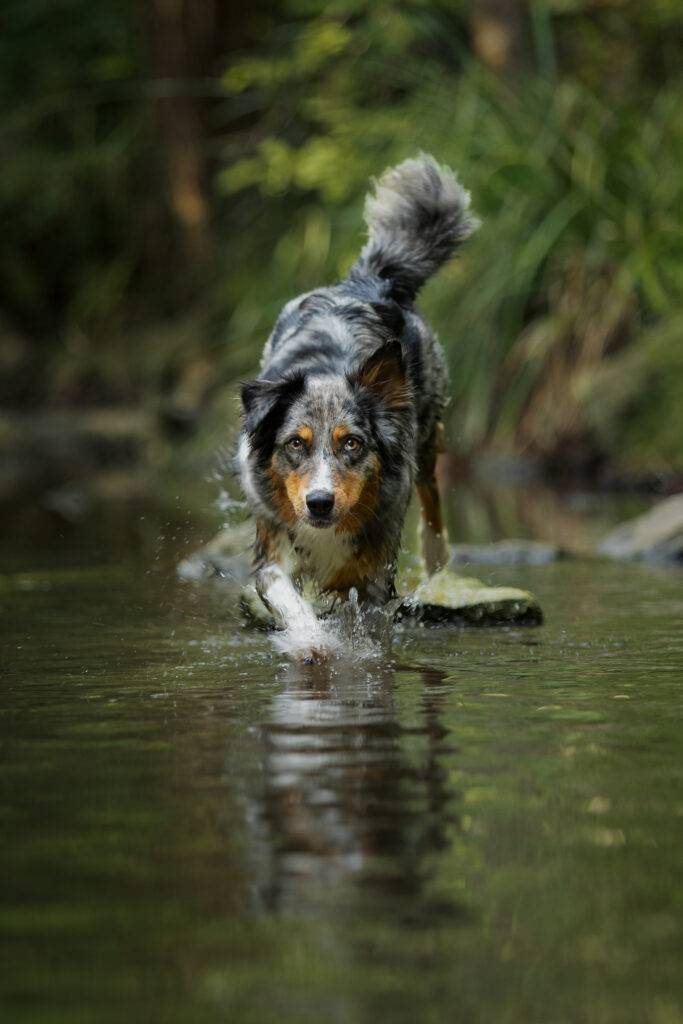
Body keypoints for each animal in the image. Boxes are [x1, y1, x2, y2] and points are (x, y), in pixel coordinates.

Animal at [237, 154, 479, 647]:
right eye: (295, 444)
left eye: (352, 444)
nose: (319, 502)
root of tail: (369, 280)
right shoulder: (272, 550)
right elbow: (290, 601)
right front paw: (311, 644)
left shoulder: (373, 574)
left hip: (426, 429)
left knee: (431, 488)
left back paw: (437, 558)